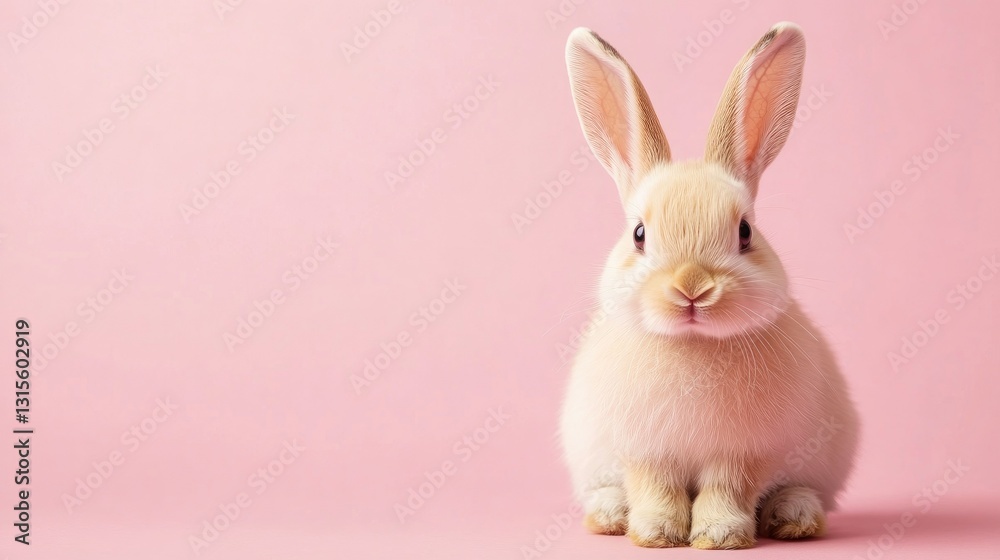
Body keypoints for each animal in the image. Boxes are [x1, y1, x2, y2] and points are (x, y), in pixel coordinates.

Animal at [558, 22, 859, 549]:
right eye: (639, 234)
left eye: (745, 232)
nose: (692, 287)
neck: (693, 344)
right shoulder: (646, 450)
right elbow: (655, 487)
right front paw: (656, 533)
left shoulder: (745, 452)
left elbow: (727, 488)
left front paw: (719, 536)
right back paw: (611, 515)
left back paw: (794, 517)